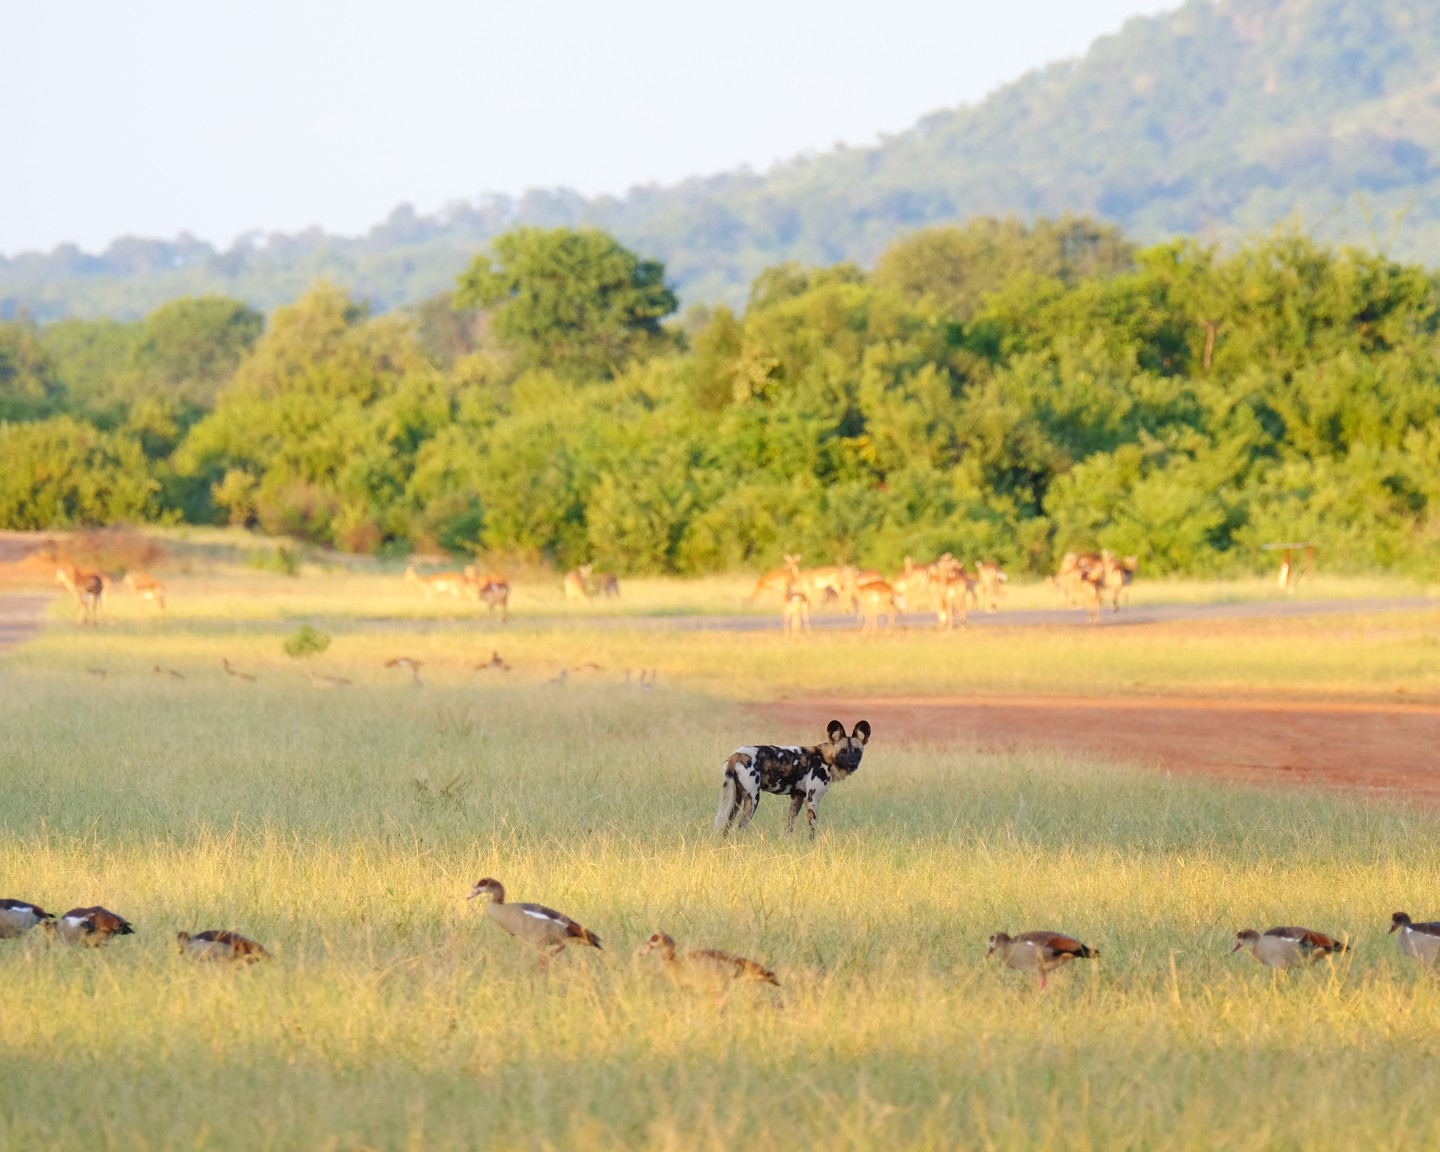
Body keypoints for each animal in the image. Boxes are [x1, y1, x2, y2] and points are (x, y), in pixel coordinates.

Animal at [714, 720, 869, 835]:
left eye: (857, 751)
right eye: (843, 751)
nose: (852, 764)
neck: (826, 758)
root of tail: (736, 755)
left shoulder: (797, 798)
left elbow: (788, 829)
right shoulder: (812, 800)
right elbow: (814, 832)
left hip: (735, 801)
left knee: (726, 829)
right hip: (752, 800)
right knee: (740, 827)